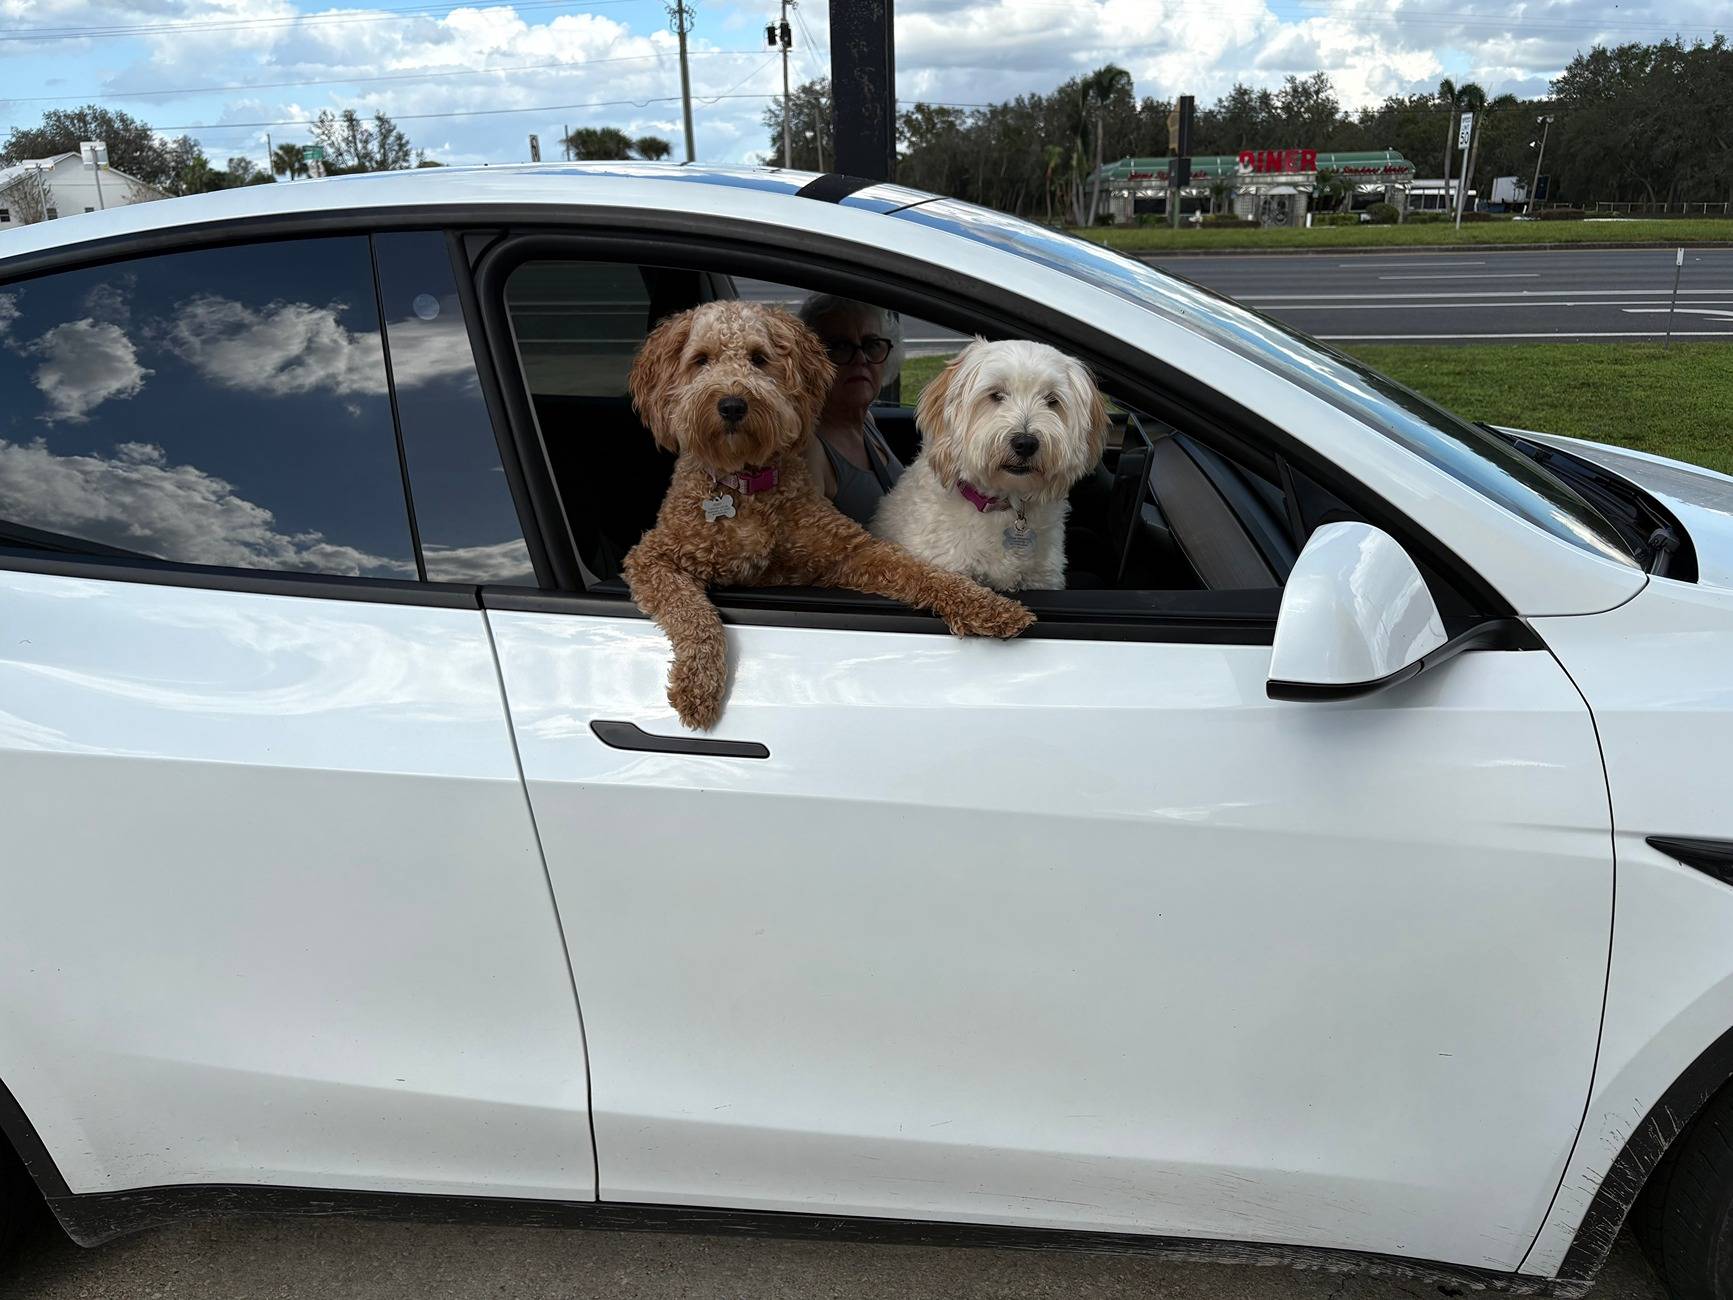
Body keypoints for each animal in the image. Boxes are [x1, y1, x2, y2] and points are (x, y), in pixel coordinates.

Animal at [620, 303, 1025, 734]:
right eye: (700, 360)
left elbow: (921, 572)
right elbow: (690, 610)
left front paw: (988, 605)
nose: (731, 404)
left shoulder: (849, 550)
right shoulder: (653, 557)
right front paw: (697, 682)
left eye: (759, 358)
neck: (745, 484)